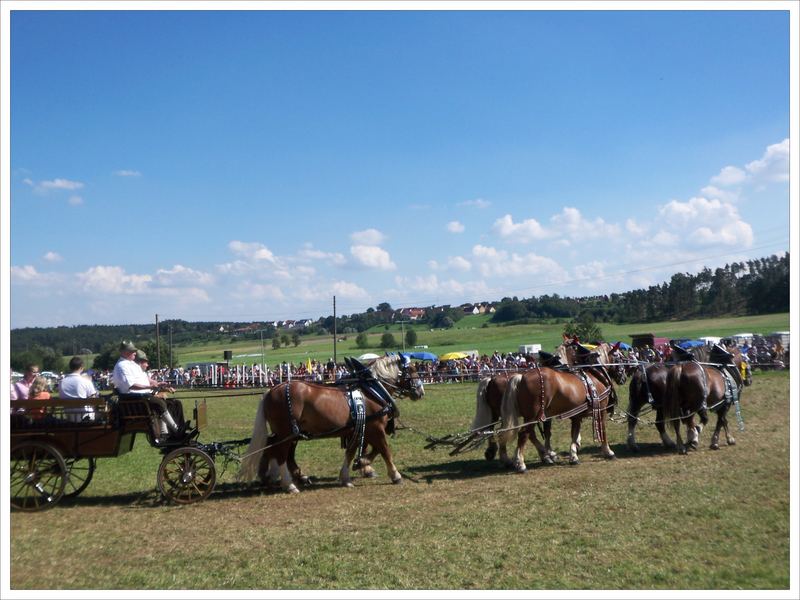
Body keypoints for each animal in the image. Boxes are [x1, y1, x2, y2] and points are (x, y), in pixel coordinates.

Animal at [238, 356, 424, 492]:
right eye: (411, 370)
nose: (420, 391)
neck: (371, 391)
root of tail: (271, 390)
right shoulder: (375, 427)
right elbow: (384, 450)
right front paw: (394, 474)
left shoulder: (357, 428)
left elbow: (351, 452)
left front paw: (349, 475)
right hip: (286, 432)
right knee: (280, 454)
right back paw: (288, 484)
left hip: (290, 433)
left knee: (276, 450)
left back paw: (283, 476)